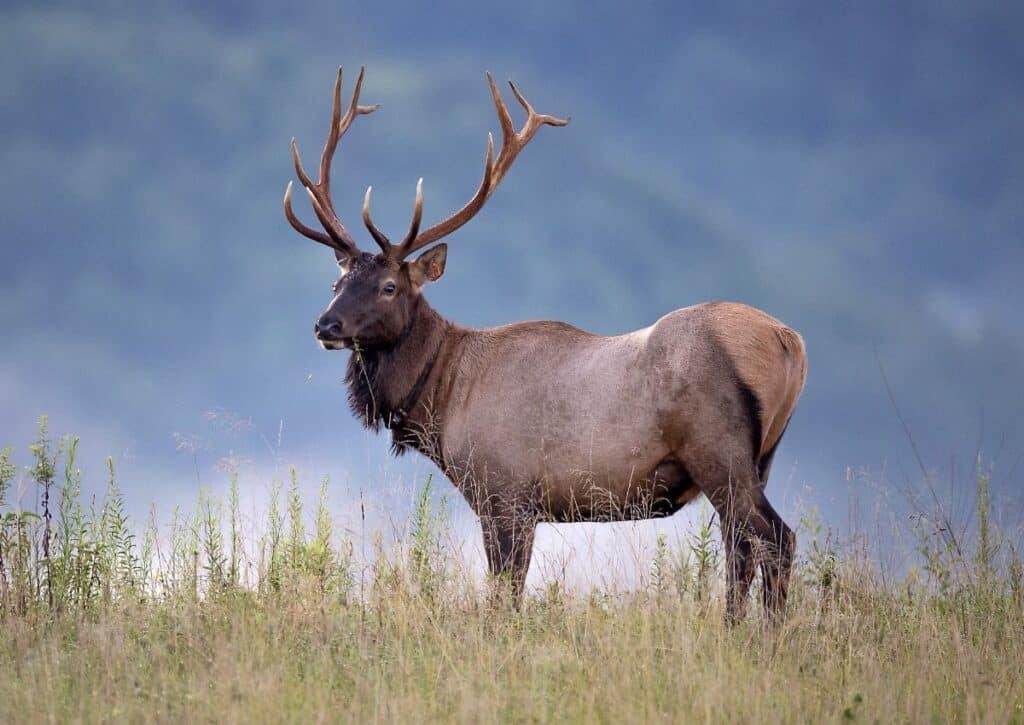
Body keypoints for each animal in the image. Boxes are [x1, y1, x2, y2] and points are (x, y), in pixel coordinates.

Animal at [282, 69, 806, 622]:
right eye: (337, 282)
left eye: (388, 287)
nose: (325, 325)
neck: (443, 399)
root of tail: (790, 341)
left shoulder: (505, 493)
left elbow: (505, 594)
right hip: (759, 459)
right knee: (742, 545)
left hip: (718, 448)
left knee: (774, 538)